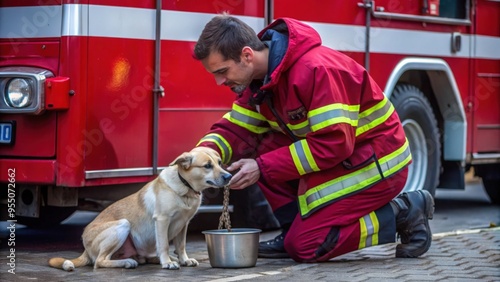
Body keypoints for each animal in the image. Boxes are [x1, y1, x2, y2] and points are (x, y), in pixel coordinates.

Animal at [48, 147, 232, 270]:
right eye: (207, 166)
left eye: (219, 163)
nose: (229, 176)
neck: (185, 188)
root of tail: (85, 249)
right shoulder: (162, 220)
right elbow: (164, 245)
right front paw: (167, 262)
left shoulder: (184, 224)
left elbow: (181, 246)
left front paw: (183, 259)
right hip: (122, 225)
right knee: (99, 261)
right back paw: (128, 262)